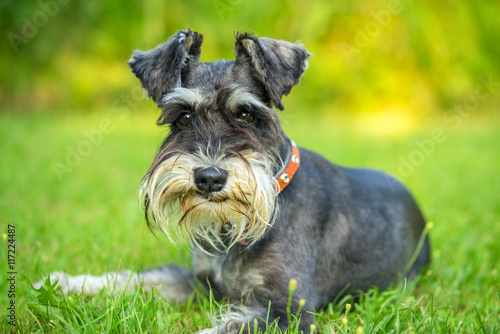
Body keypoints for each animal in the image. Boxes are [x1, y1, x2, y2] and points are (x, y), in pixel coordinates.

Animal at [36, 29, 430, 334]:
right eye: (183, 117)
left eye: (246, 114)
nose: (209, 178)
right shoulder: (201, 282)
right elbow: (138, 278)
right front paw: (65, 283)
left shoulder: (287, 310)